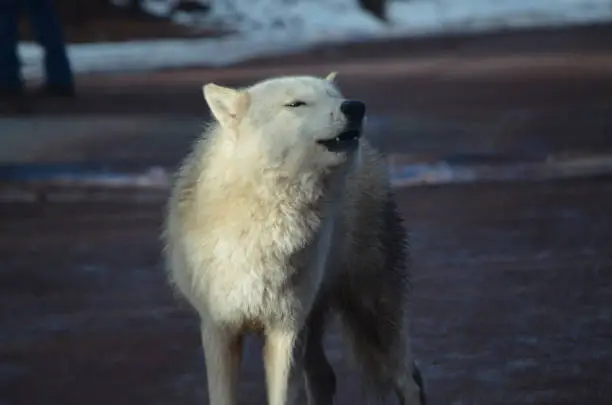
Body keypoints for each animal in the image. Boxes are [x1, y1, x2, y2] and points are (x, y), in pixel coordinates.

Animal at [163, 72, 426, 404]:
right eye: (295, 104)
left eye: (334, 96)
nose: (355, 106)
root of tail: (371, 154)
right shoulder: (219, 328)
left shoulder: (285, 328)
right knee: (326, 376)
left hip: (372, 308)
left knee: (408, 378)